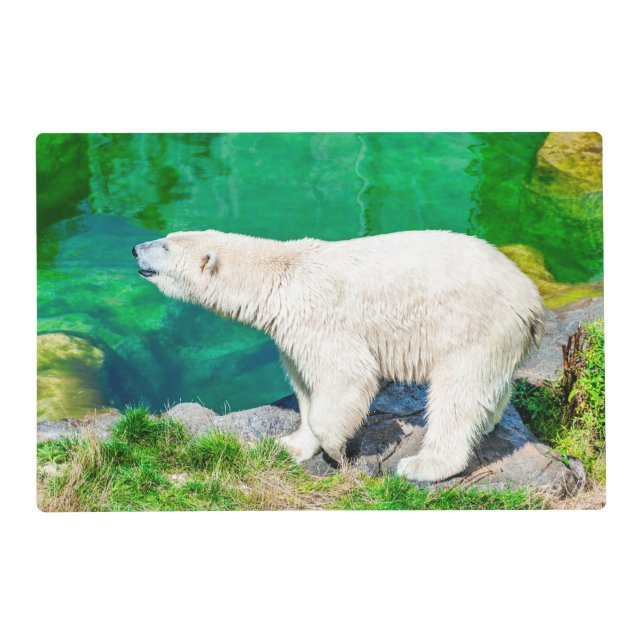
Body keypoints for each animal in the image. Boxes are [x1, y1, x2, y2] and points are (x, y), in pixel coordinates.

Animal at [133, 229, 544, 482]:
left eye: (166, 246)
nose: (135, 248)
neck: (280, 276)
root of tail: (531, 300)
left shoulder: (319, 316)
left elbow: (346, 376)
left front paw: (336, 450)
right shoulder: (291, 332)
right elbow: (305, 387)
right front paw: (292, 445)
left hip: (473, 325)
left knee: (457, 393)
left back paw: (425, 465)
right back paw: (487, 423)